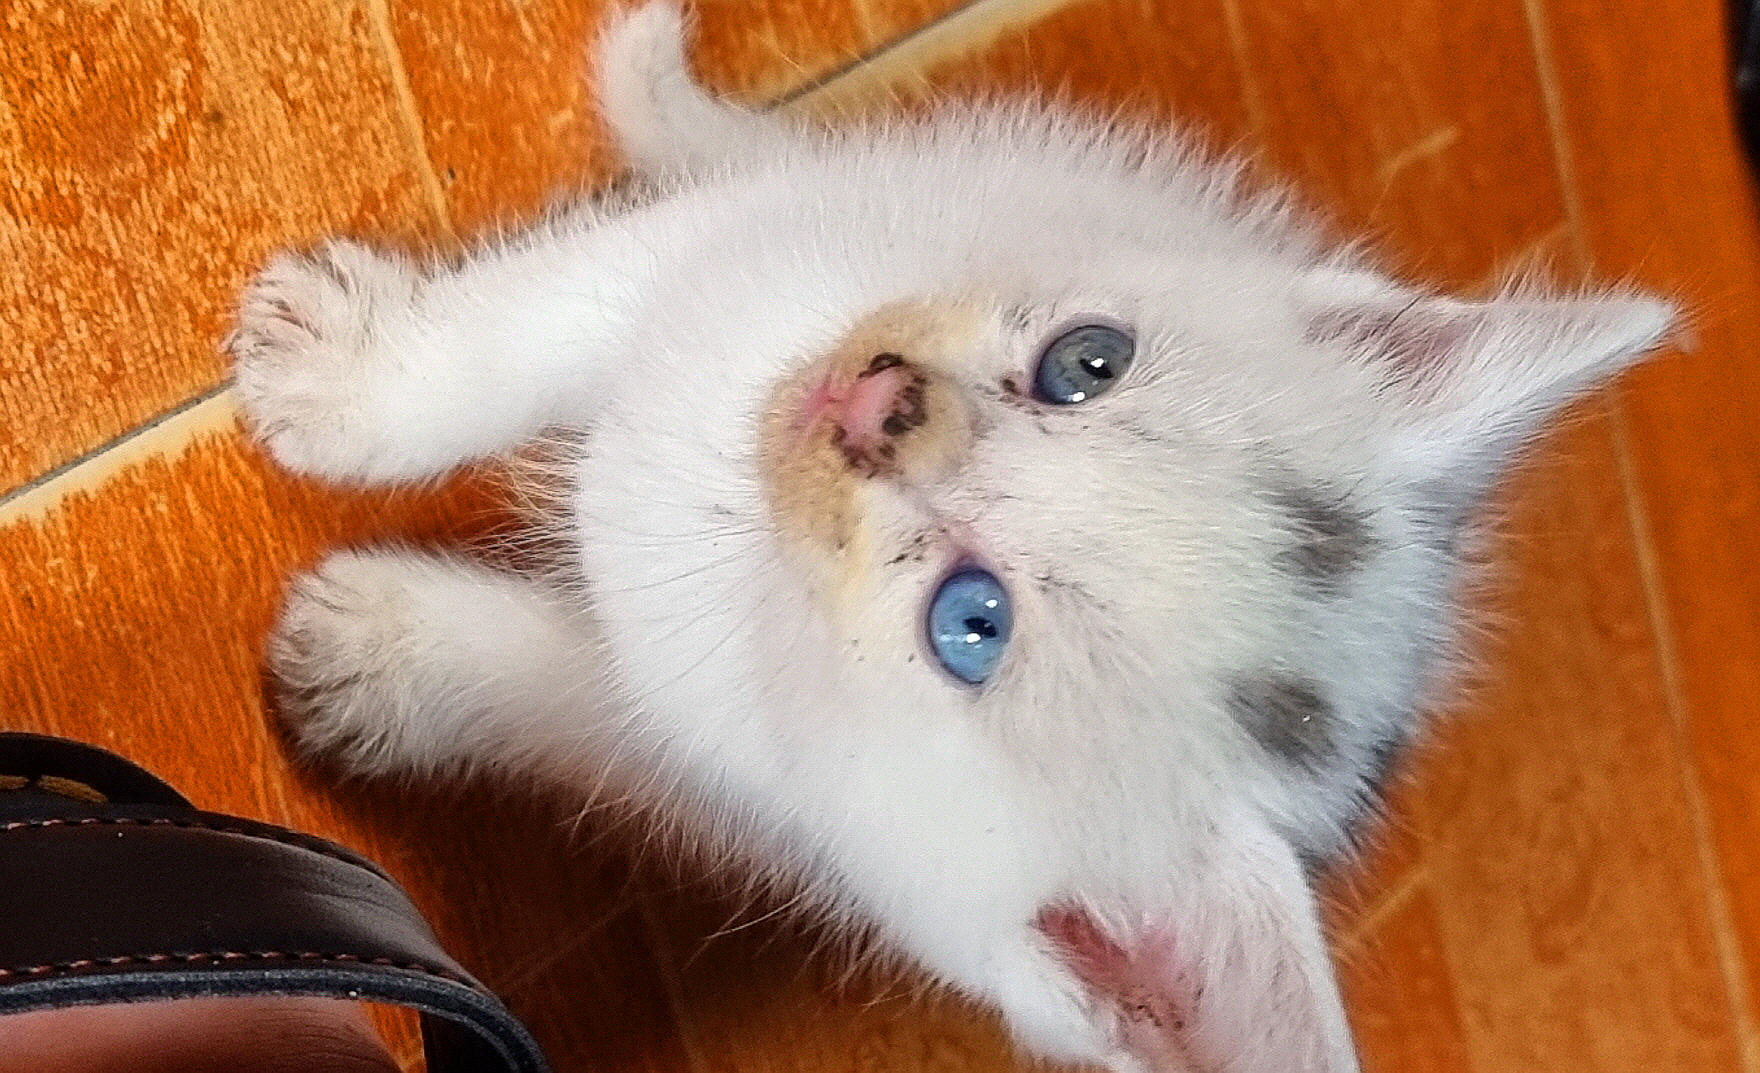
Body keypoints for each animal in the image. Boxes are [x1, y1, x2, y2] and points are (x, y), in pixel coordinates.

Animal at [226, 4, 1673, 1071]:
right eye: (1087, 363)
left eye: (971, 627)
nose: (878, 404)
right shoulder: (744, 261)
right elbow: (520, 330)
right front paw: (347, 379)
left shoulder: (733, 772)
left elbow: (555, 694)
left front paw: (376, 660)